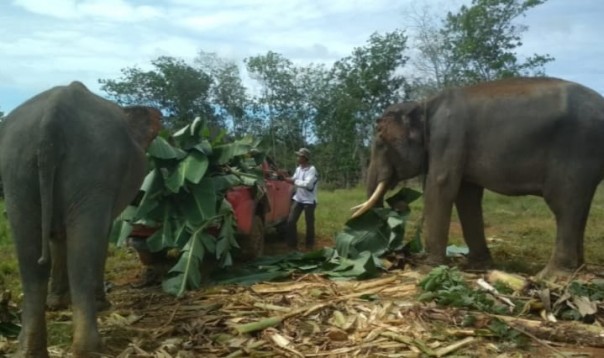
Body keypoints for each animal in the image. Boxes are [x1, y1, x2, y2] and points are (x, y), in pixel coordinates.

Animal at [352, 77, 604, 280]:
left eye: (380, 139)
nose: (390, 255)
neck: (424, 104)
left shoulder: (448, 137)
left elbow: (441, 186)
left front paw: (428, 268)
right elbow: (467, 196)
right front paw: (477, 264)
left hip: (576, 151)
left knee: (564, 205)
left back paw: (550, 276)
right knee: (579, 208)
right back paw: (577, 271)